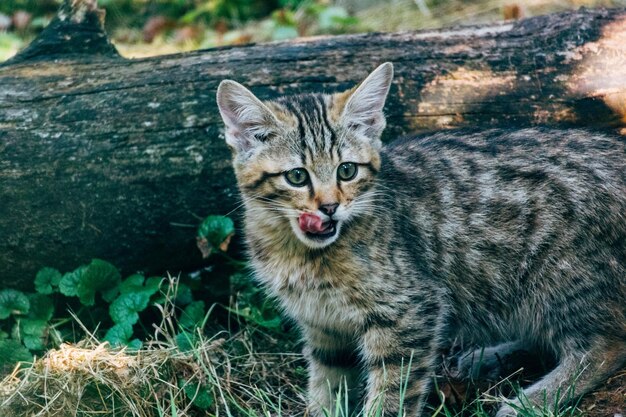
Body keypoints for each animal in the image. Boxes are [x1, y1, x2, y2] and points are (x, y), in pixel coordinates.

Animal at [216, 62, 624, 416]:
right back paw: (486, 359)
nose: (330, 208)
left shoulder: (410, 311)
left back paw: (531, 401)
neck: (300, 252)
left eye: (346, 170)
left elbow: (391, 394)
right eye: (297, 176)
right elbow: (327, 388)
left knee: (606, 345)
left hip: (559, 277)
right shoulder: (324, 327)